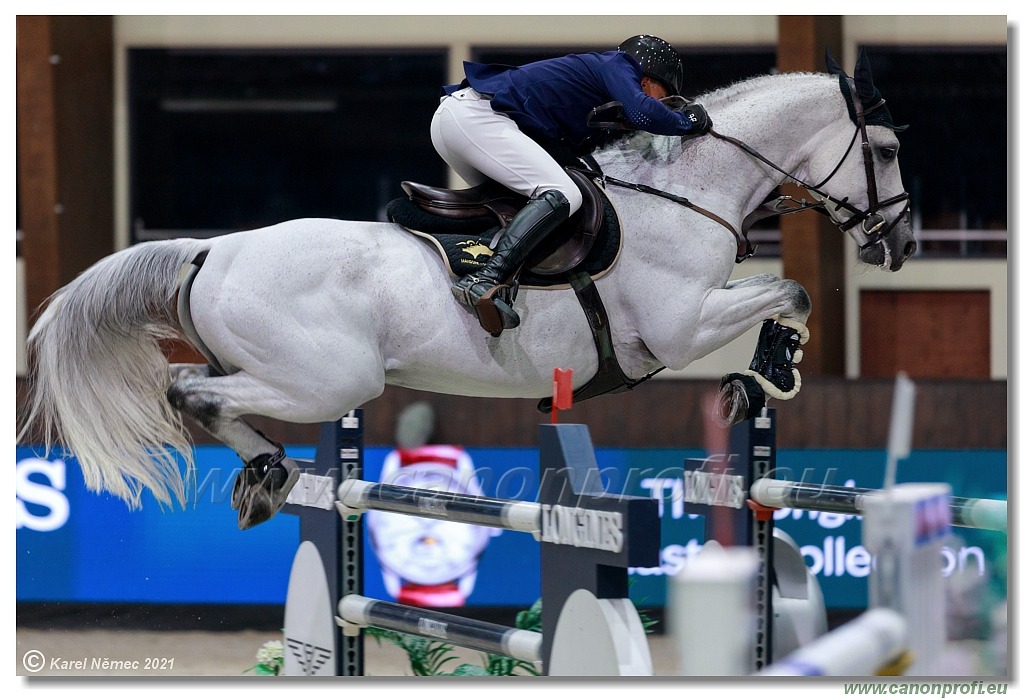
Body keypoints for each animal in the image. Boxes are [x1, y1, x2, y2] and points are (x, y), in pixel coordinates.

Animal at [22, 51, 921, 528]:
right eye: (883, 149)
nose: (904, 243)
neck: (684, 190)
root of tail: (214, 249)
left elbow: (787, 291)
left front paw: (761, 376)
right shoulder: (678, 329)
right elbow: (793, 291)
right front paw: (762, 376)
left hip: (293, 373)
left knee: (188, 385)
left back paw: (267, 476)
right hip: (328, 379)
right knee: (193, 393)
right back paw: (269, 469)